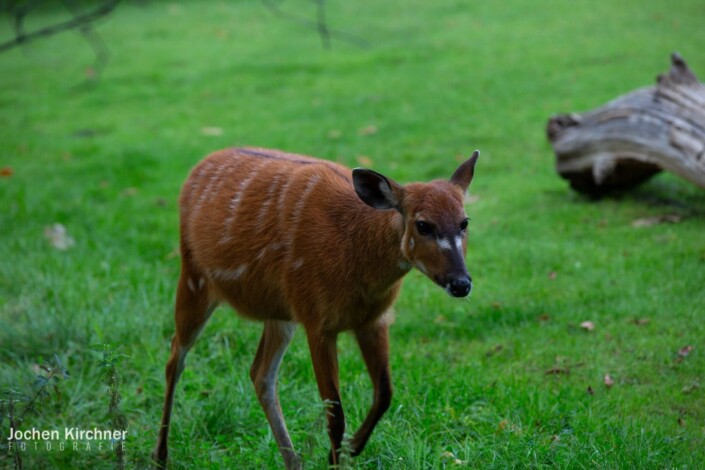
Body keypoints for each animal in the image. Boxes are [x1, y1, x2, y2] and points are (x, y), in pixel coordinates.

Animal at [153, 146, 478, 466]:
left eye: (464, 222)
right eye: (423, 225)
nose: (461, 283)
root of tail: (197, 168)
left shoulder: (374, 319)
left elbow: (384, 392)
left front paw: (350, 449)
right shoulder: (317, 320)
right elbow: (335, 415)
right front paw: (335, 456)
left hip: (280, 312)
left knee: (260, 374)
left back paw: (293, 461)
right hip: (194, 276)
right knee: (175, 356)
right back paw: (160, 455)